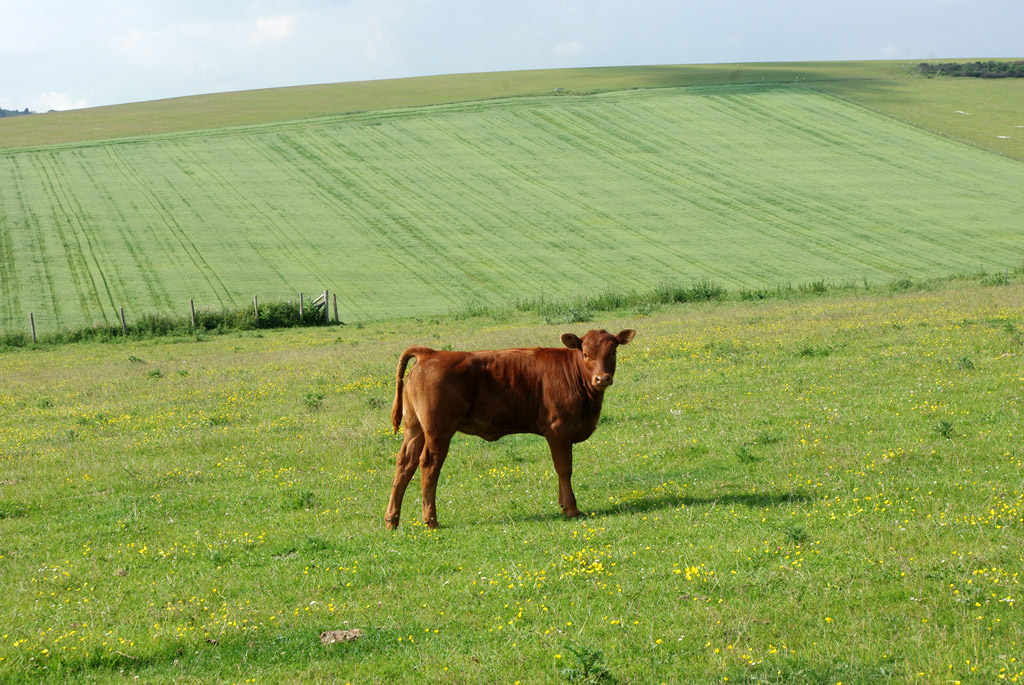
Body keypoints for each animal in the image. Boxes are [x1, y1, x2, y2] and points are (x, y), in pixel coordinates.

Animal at [385, 328, 635, 529]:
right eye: (585, 354)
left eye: (612, 353)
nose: (602, 378)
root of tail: (430, 353)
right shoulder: (559, 429)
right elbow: (564, 468)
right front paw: (572, 509)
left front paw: (563, 504)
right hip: (439, 430)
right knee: (429, 464)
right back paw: (431, 520)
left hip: (415, 428)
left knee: (404, 464)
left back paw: (392, 520)